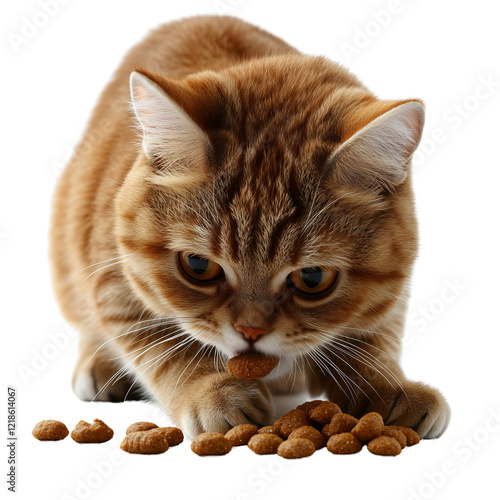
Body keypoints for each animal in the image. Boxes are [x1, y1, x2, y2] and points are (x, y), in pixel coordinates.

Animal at [49, 14, 450, 438]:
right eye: (198, 266)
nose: (251, 332)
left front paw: (387, 386)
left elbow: (371, 339)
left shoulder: (392, 291)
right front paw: (212, 391)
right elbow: (164, 348)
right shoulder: (113, 280)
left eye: (312, 277)